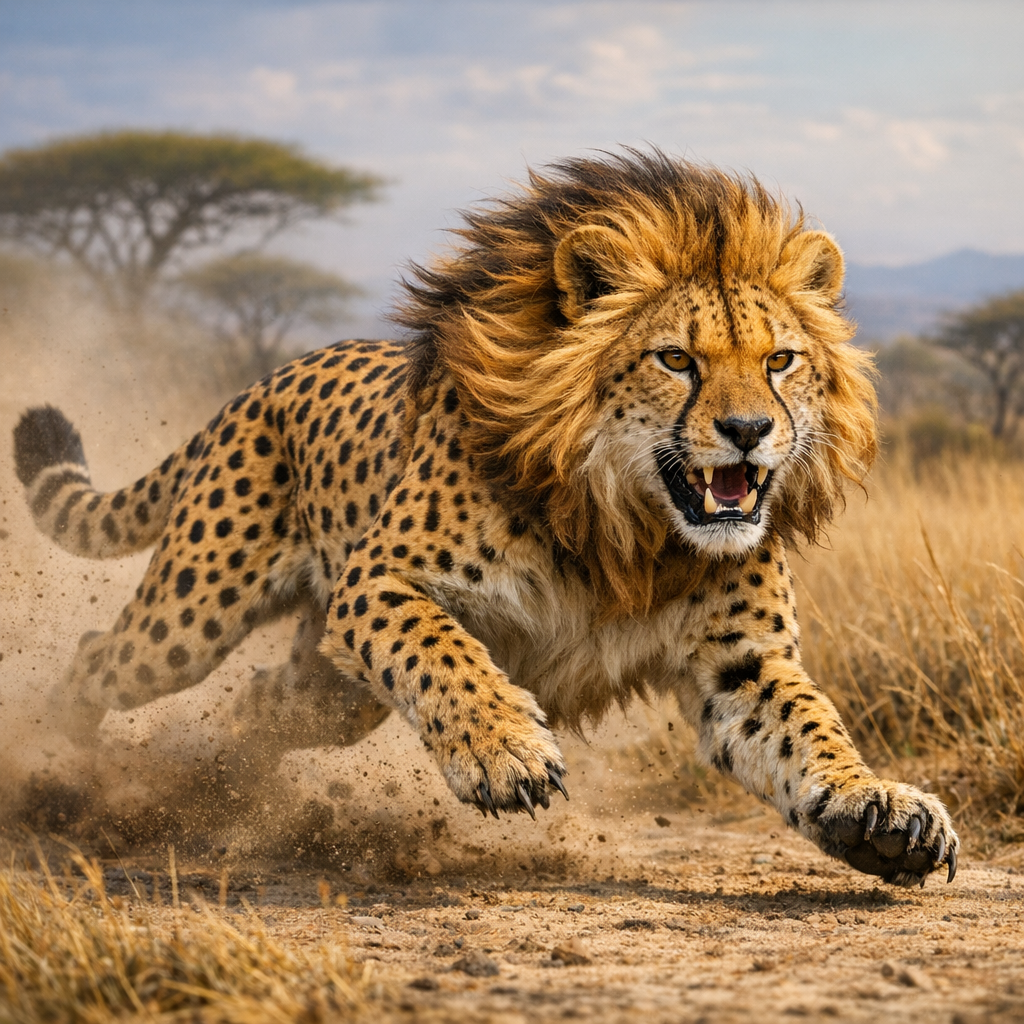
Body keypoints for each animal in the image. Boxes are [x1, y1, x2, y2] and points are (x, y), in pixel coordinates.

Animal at [14, 150, 958, 887]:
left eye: (781, 361)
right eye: (677, 359)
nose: (751, 431)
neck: (633, 526)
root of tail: (265, 378)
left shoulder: (742, 661)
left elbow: (810, 728)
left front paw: (879, 811)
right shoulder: (380, 580)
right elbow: (443, 652)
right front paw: (504, 751)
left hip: (326, 687)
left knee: (256, 705)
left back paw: (221, 785)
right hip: (195, 617)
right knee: (100, 655)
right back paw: (55, 765)